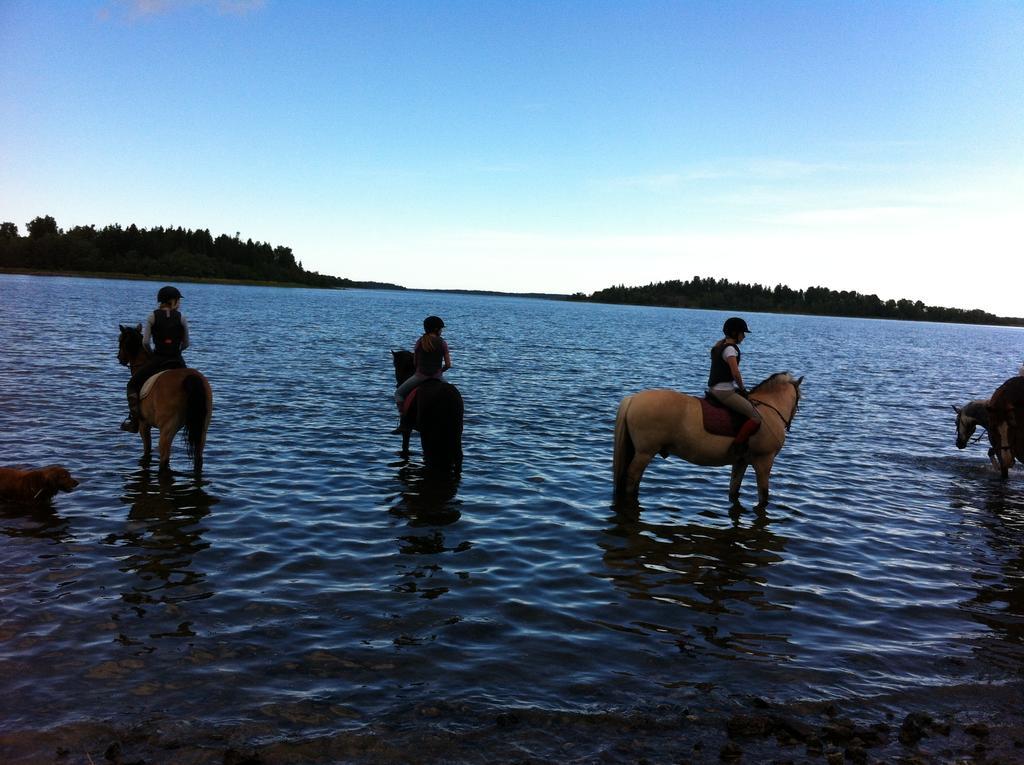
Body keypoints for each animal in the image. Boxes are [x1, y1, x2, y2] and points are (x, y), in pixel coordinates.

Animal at [116, 325, 211, 473]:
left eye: (120, 340)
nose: (119, 357)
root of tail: (190, 378)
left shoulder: (144, 425)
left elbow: (147, 450)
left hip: (167, 429)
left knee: (164, 459)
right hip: (202, 429)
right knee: (198, 458)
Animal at [610, 372, 802, 507]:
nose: (789, 424)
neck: (768, 410)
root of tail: (632, 399)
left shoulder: (741, 462)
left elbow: (734, 490)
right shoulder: (764, 461)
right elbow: (763, 495)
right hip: (644, 453)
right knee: (631, 479)